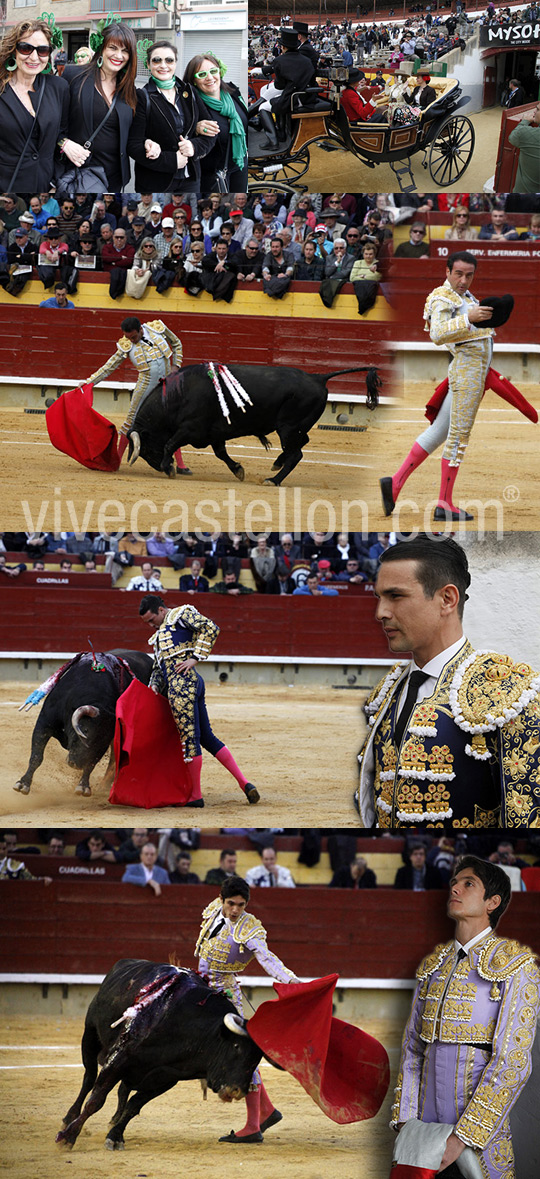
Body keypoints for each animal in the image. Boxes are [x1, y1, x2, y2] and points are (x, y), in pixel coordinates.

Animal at [13, 650, 152, 797]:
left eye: (103, 740)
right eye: (84, 730)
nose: (75, 764)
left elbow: (91, 764)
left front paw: (83, 786)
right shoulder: (44, 723)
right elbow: (36, 756)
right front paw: (23, 784)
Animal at [56, 957, 264, 1150]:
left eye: (257, 1058)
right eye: (236, 1046)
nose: (237, 1091)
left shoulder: (166, 1077)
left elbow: (134, 1106)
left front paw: (115, 1136)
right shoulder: (118, 1058)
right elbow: (96, 1100)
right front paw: (67, 1138)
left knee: (123, 1089)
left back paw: (114, 1120)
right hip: (90, 1035)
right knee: (89, 1078)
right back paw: (68, 1119)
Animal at [127, 363, 382, 483]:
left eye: (146, 450)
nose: (158, 467)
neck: (178, 395)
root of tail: (318, 377)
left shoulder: (190, 429)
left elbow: (170, 444)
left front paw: (169, 468)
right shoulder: (214, 434)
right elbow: (221, 453)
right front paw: (239, 470)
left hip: (288, 427)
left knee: (296, 453)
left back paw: (273, 480)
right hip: (296, 427)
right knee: (301, 444)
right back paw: (276, 464)